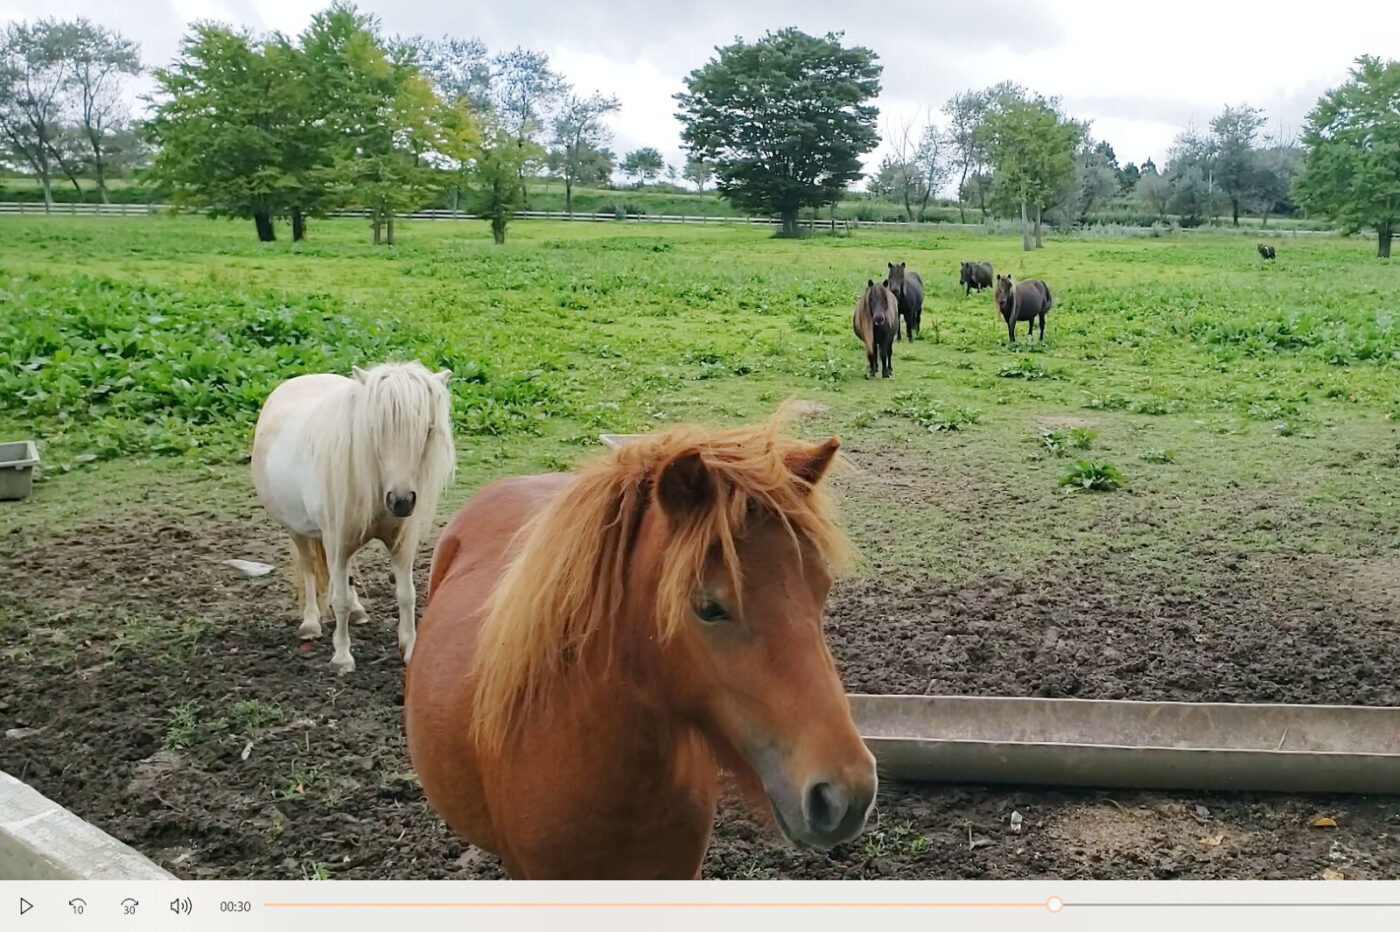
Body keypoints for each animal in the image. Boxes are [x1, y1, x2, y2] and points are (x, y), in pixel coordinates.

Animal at [249, 358, 450, 671]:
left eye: (427, 429)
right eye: (377, 428)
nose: (401, 502)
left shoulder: (400, 543)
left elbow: (406, 595)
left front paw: (410, 649)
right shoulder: (336, 541)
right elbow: (338, 598)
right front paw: (342, 657)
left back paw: (357, 611)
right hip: (299, 531)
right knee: (309, 567)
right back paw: (310, 623)